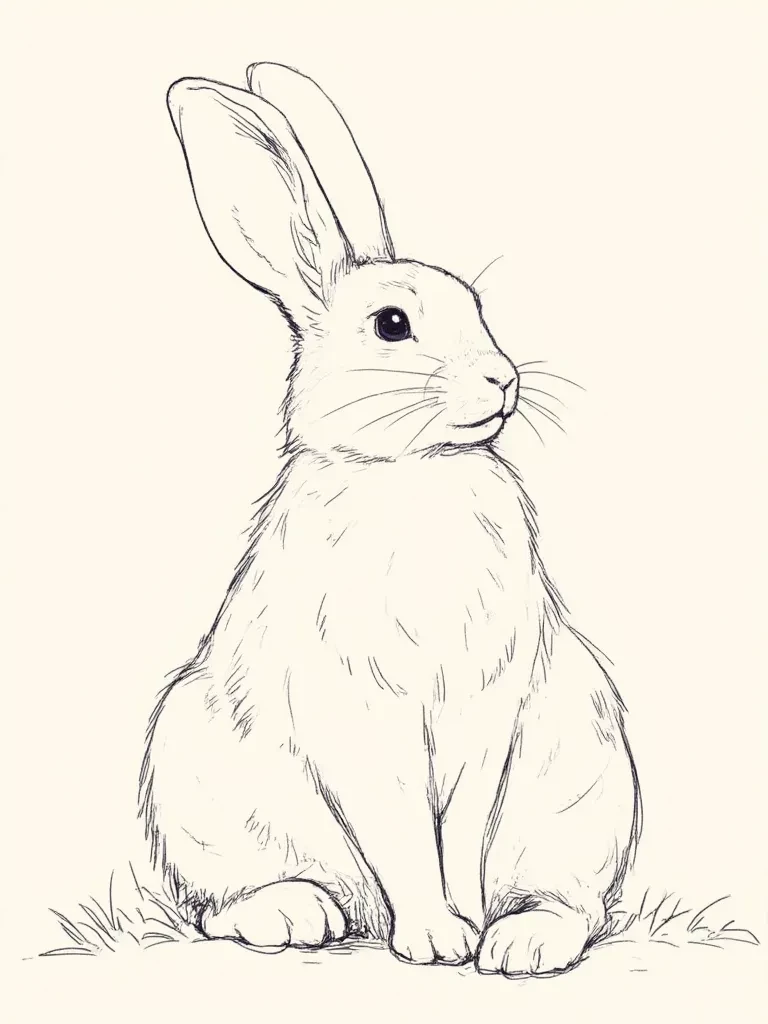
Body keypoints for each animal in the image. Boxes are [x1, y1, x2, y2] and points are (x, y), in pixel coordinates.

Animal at [139, 61, 641, 977]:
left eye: (477, 306)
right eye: (393, 325)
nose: (504, 378)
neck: (415, 472)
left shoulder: (486, 709)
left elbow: (464, 827)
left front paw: (469, 927)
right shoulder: (361, 718)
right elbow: (402, 830)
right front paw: (437, 938)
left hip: (588, 782)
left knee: (573, 901)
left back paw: (523, 941)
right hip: (194, 779)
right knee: (222, 902)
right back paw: (295, 914)